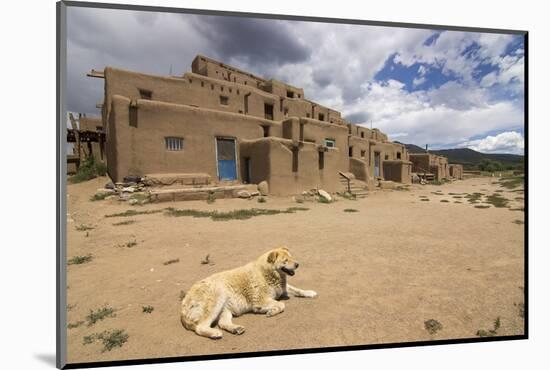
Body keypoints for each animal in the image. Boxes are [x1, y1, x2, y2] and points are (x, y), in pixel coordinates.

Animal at [181, 247, 320, 340]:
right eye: (285, 260)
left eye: (291, 257)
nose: (297, 264)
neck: (267, 273)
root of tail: (183, 306)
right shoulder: (261, 300)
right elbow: (281, 305)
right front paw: (271, 311)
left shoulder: (283, 289)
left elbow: (297, 290)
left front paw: (309, 292)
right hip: (217, 297)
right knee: (200, 327)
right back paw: (215, 333)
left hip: (225, 309)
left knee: (222, 323)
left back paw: (236, 329)